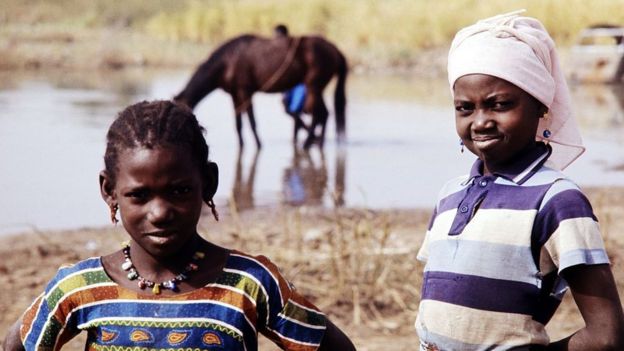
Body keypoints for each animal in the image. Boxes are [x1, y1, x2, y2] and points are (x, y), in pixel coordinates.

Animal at [173, 33, 346, 148]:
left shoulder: (245, 92)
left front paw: (258, 145)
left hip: (313, 88)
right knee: (324, 114)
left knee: (319, 114)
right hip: (317, 89)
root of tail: (335, 49)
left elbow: (251, 121)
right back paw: (317, 143)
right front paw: (242, 146)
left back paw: (308, 143)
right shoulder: (235, 95)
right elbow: (239, 123)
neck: (228, 61)